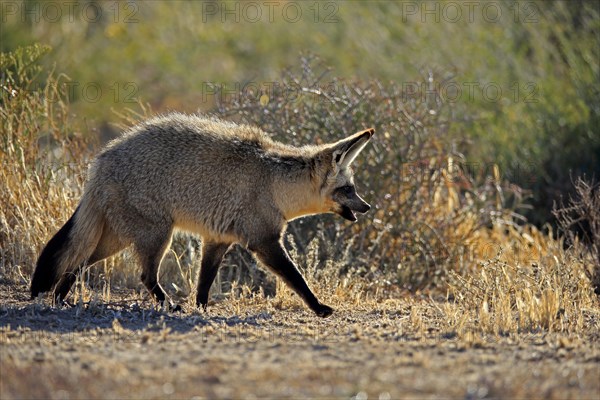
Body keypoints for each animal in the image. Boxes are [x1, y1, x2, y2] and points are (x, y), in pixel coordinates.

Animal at [31, 114, 376, 318]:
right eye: (348, 189)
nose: (368, 207)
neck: (274, 183)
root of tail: (101, 160)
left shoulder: (217, 240)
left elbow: (203, 284)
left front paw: (202, 309)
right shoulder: (264, 241)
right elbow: (297, 278)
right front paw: (318, 307)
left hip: (117, 240)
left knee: (77, 262)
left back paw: (60, 298)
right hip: (157, 236)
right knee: (145, 276)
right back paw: (168, 304)